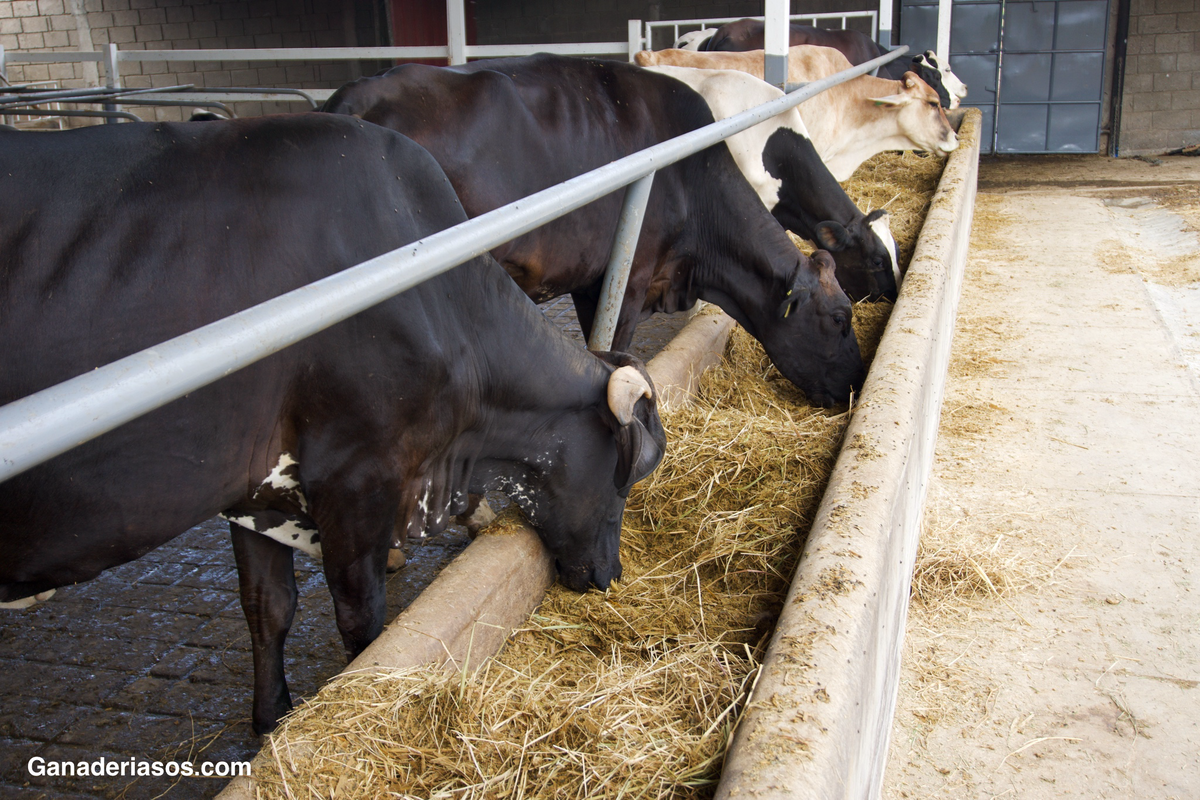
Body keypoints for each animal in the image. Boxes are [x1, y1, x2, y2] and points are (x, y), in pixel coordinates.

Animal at [0, 114, 667, 734]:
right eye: (623, 480)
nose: (611, 576)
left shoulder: (256, 489)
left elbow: (268, 606)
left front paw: (271, 721)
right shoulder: (357, 482)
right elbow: (362, 625)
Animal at [322, 54, 866, 405]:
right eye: (840, 318)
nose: (859, 381)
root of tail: (354, 98)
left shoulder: (589, 285)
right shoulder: (627, 280)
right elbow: (611, 356)